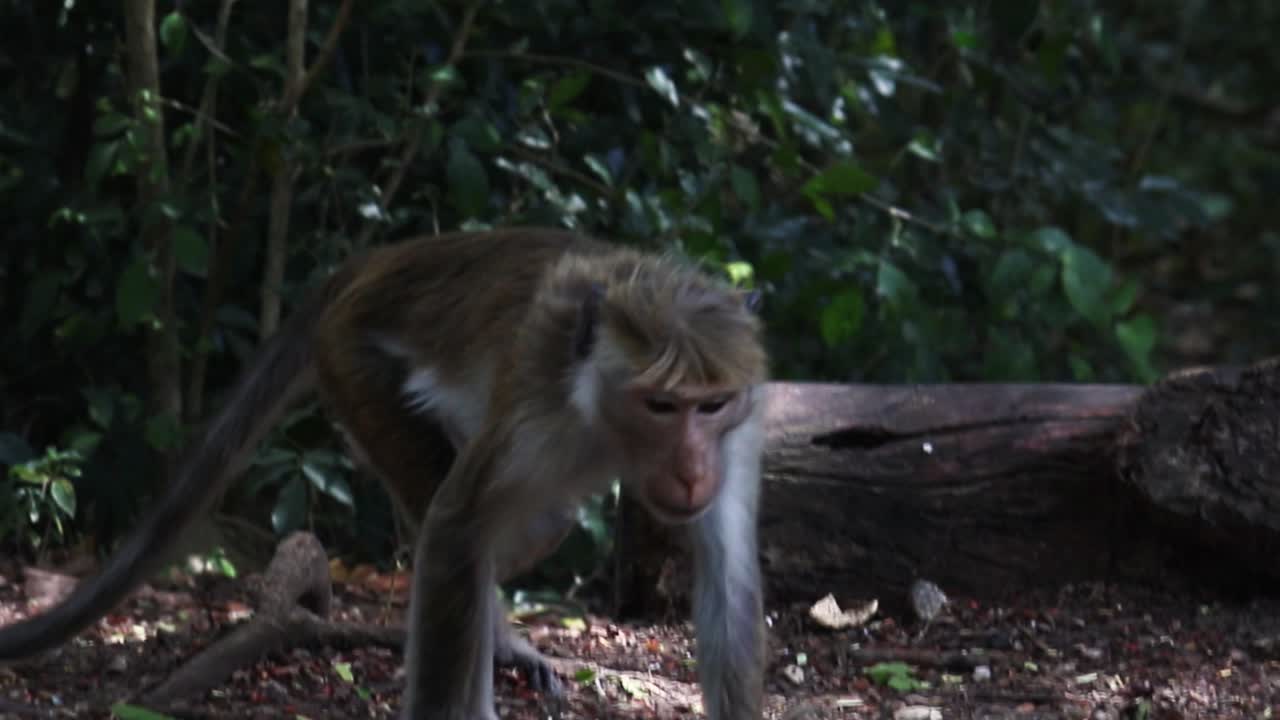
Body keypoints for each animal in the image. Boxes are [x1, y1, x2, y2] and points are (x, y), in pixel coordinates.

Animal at [0, 228, 769, 720]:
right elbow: (457, 528)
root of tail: (375, 262)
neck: (608, 424)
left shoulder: (737, 438)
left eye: (712, 405)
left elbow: (728, 581)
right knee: (468, 527)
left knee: (527, 531)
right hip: (354, 365)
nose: (692, 470)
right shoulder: (539, 416)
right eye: (663, 405)